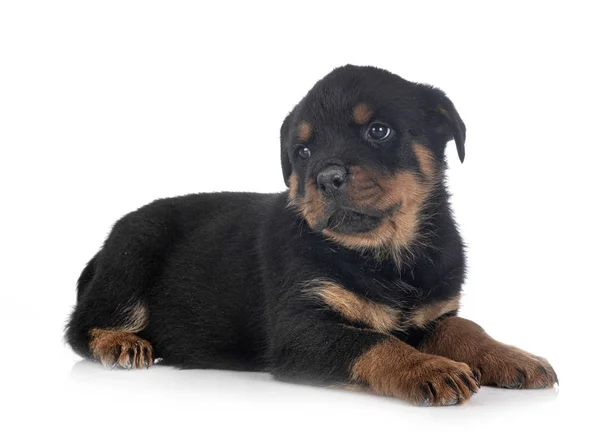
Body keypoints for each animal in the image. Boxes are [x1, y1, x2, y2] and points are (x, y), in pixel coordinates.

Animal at [65, 65, 556, 404]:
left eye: (379, 130)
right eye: (302, 151)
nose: (326, 177)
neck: (385, 253)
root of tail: (99, 253)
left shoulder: (435, 313)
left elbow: (466, 327)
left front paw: (513, 357)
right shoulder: (301, 330)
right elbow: (373, 341)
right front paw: (430, 369)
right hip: (135, 248)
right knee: (80, 326)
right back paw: (120, 342)